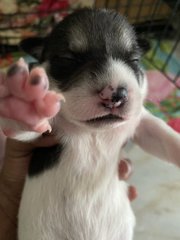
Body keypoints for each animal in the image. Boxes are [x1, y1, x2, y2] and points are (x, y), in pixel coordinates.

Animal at [17, 8, 180, 240]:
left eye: (135, 60)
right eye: (68, 59)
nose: (116, 94)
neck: (93, 133)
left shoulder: (140, 122)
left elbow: (162, 135)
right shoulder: (43, 132)